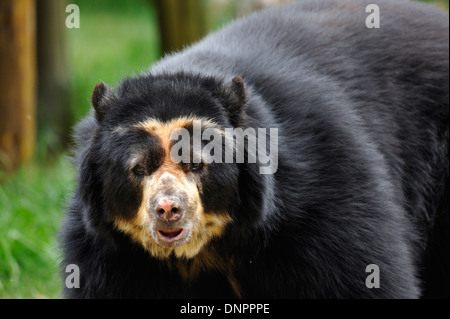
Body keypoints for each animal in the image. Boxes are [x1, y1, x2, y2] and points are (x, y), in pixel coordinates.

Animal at [61, 0, 448, 300]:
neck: (208, 249)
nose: (168, 210)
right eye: (139, 168)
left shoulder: (326, 196)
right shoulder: (112, 255)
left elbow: (360, 276)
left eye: (197, 165)